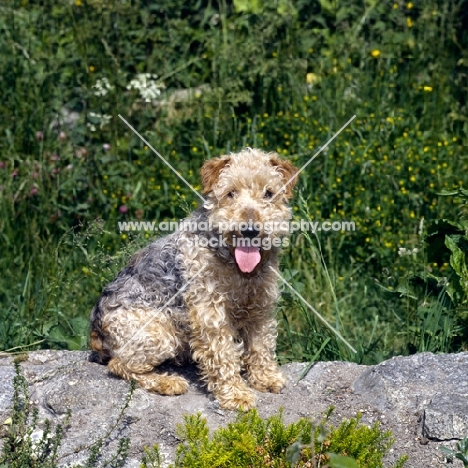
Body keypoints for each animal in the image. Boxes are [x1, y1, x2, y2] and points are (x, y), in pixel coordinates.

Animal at [89, 148, 298, 408]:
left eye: (269, 193)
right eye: (231, 193)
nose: (249, 230)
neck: (234, 265)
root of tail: (95, 330)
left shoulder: (260, 306)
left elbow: (261, 346)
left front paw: (265, 378)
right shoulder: (210, 312)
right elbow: (223, 355)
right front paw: (235, 394)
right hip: (160, 334)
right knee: (120, 365)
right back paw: (168, 382)